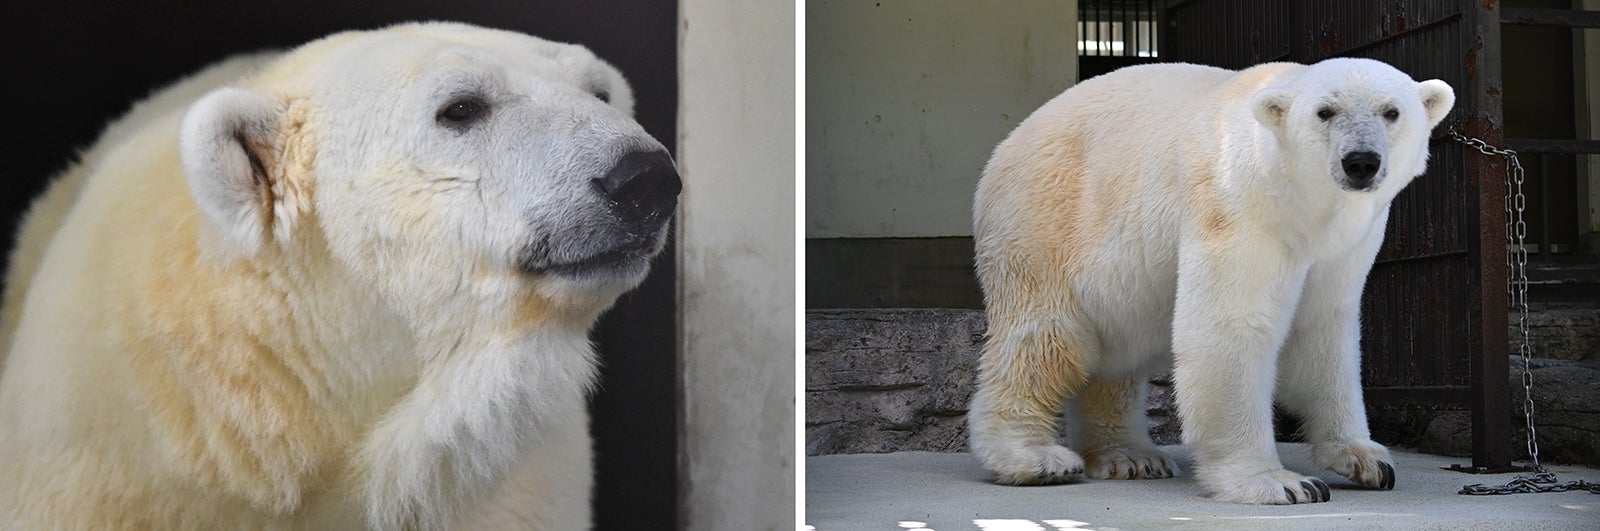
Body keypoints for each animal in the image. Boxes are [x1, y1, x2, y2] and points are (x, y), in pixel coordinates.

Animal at [966, 59, 1459, 505]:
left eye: (1391, 111)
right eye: (1325, 111)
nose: (1361, 162)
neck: (1301, 205)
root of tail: (1008, 143)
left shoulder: (1344, 250)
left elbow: (1323, 331)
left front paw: (1368, 460)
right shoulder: (1240, 207)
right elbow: (1233, 325)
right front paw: (1281, 483)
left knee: (1117, 352)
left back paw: (1130, 456)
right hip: (1049, 222)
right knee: (1048, 339)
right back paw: (1033, 458)